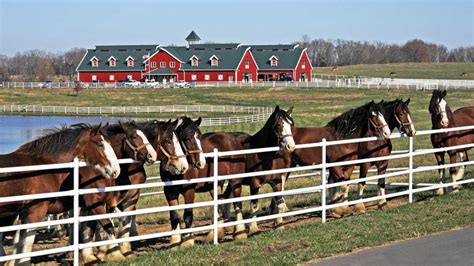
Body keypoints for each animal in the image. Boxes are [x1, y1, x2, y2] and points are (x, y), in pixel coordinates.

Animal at [0, 124, 119, 266]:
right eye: (100, 144)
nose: (116, 170)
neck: (45, 168)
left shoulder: (24, 213)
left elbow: (20, 243)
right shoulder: (36, 212)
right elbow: (27, 243)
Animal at [163, 106, 296, 249]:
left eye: (291, 124)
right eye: (279, 125)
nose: (291, 146)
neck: (262, 153)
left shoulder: (276, 181)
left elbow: (279, 203)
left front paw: (278, 225)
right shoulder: (254, 183)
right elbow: (254, 205)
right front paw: (253, 228)